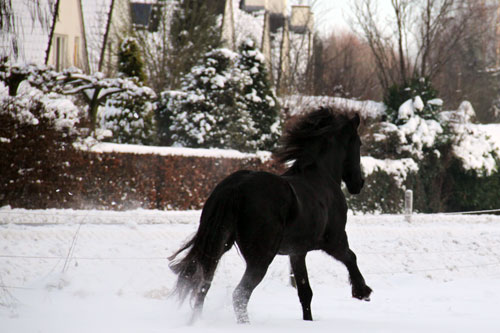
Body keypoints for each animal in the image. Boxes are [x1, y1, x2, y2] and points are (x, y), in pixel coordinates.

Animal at [170, 107, 374, 322]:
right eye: (359, 143)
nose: (359, 184)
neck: (321, 177)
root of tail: (236, 187)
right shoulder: (333, 240)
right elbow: (351, 257)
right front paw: (363, 292)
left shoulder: (297, 252)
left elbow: (305, 292)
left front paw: (308, 320)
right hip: (261, 257)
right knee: (239, 294)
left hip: (219, 244)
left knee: (203, 286)